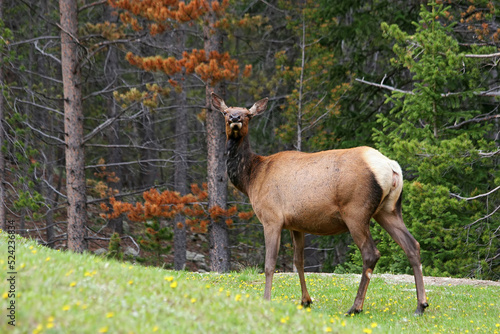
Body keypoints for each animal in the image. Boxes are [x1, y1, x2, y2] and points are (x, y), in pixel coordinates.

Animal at [211, 92, 430, 314]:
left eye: (248, 114)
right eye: (226, 112)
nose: (235, 118)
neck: (252, 177)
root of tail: (392, 167)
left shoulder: (271, 217)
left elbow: (269, 264)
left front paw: (267, 299)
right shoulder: (296, 224)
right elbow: (298, 261)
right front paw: (306, 300)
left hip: (356, 211)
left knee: (371, 253)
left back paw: (355, 307)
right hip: (388, 209)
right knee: (412, 245)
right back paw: (420, 305)